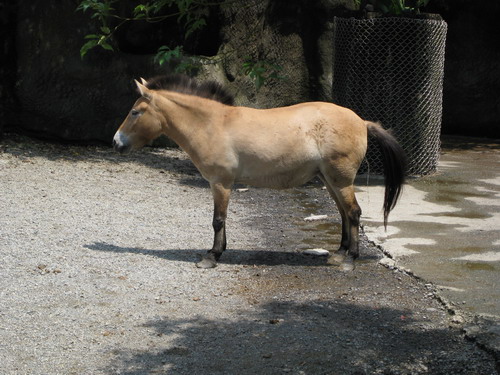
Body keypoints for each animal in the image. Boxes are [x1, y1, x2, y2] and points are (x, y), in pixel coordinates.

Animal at [113, 75, 406, 270]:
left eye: (135, 112)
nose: (116, 142)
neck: (212, 124)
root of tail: (361, 121)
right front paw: (216, 251)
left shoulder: (221, 183)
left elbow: (218, 220)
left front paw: (212, 256)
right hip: (330, 180)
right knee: (344, 213)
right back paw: (339, 254)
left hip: (340, 179)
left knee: (353, 212)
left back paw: (350, 260)